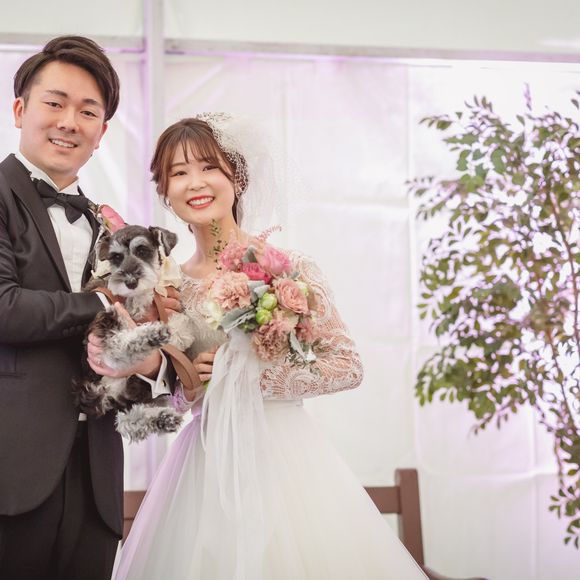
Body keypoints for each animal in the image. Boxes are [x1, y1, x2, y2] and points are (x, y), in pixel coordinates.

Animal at [73, 225, 197, 442]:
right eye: (116, 257)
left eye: (142, 250)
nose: (130, 281)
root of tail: (108, 391)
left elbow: (181, 323)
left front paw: (177, 335)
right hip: (106, 321)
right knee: (117, 348)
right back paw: (153, 335)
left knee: (127, 421)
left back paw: (164, 419)